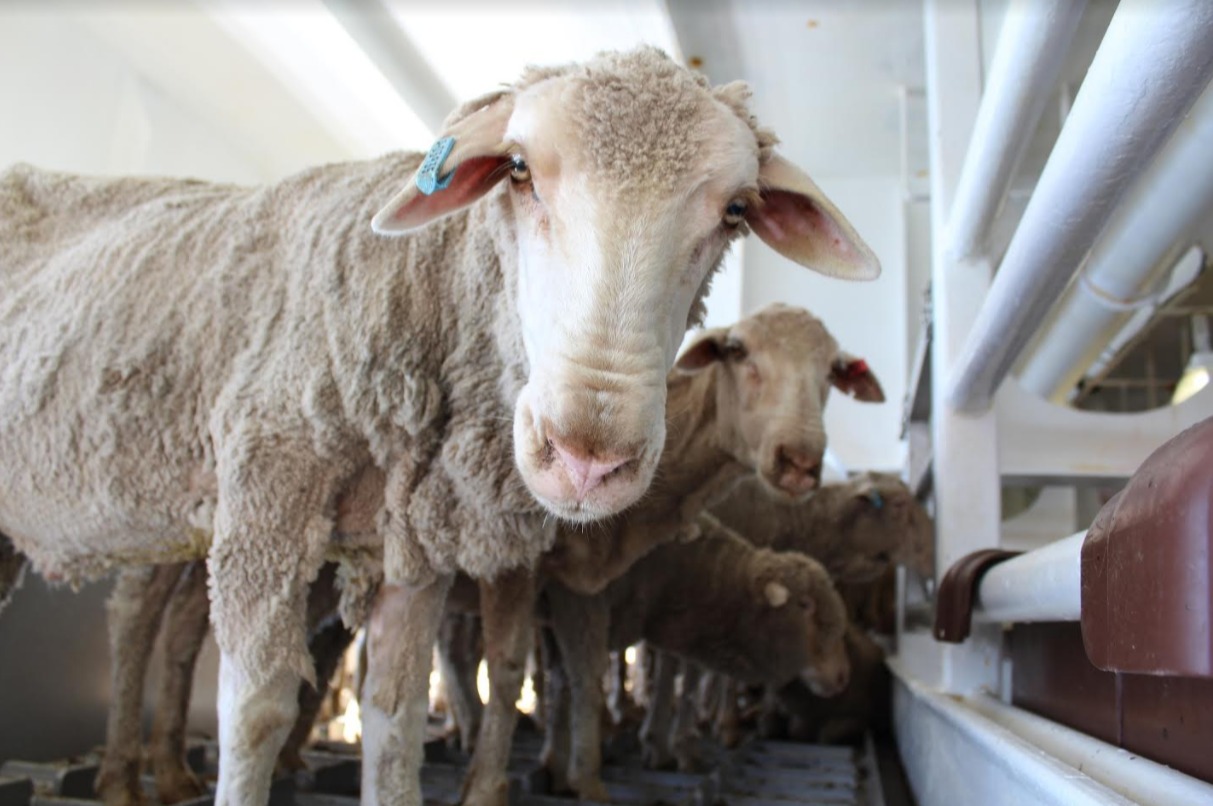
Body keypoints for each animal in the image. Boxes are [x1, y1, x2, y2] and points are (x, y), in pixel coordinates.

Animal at [544, 514, 851, 800]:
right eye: (805, 605)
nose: (842, 676)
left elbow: (562, 684)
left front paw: (557, 765)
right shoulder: (577, 601)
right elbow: (585, 681)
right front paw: (585, 777)